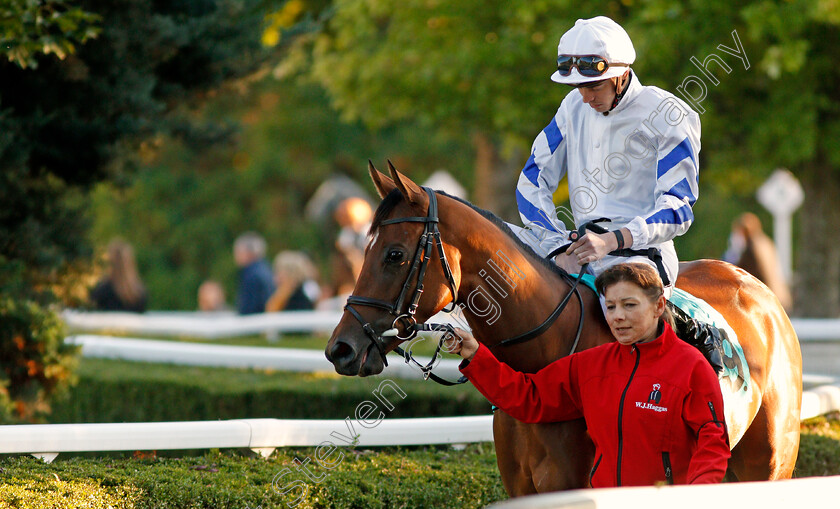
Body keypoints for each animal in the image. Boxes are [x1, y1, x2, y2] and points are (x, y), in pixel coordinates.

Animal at [324, 163, 804, 496]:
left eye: (394, 254)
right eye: (362, 248)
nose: (340, 349)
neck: (541, 359)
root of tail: (760, 291)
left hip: (771, 464)